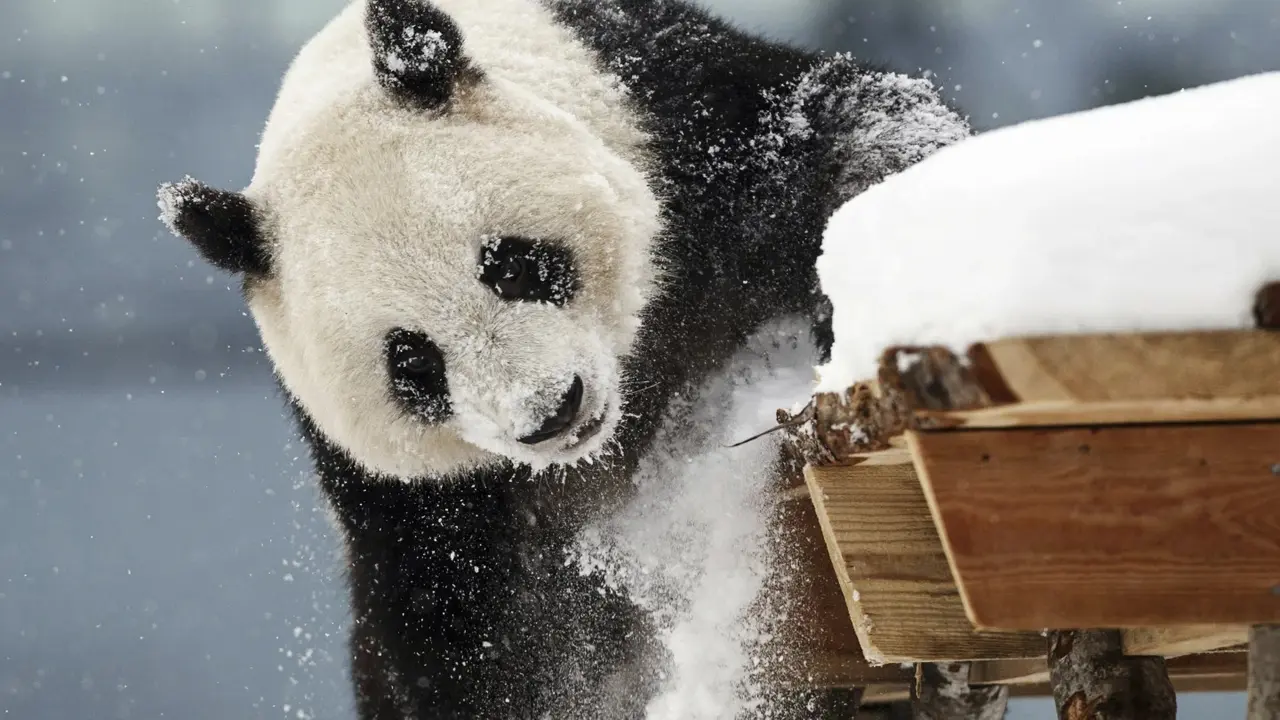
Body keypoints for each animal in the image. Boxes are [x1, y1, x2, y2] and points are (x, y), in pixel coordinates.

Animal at [157, 0, 969, 717]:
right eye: (412, 364)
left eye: (511, 265)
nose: (550, 412)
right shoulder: (409, 500)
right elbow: (458, 642)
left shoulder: (684, 129)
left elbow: (847, 132)